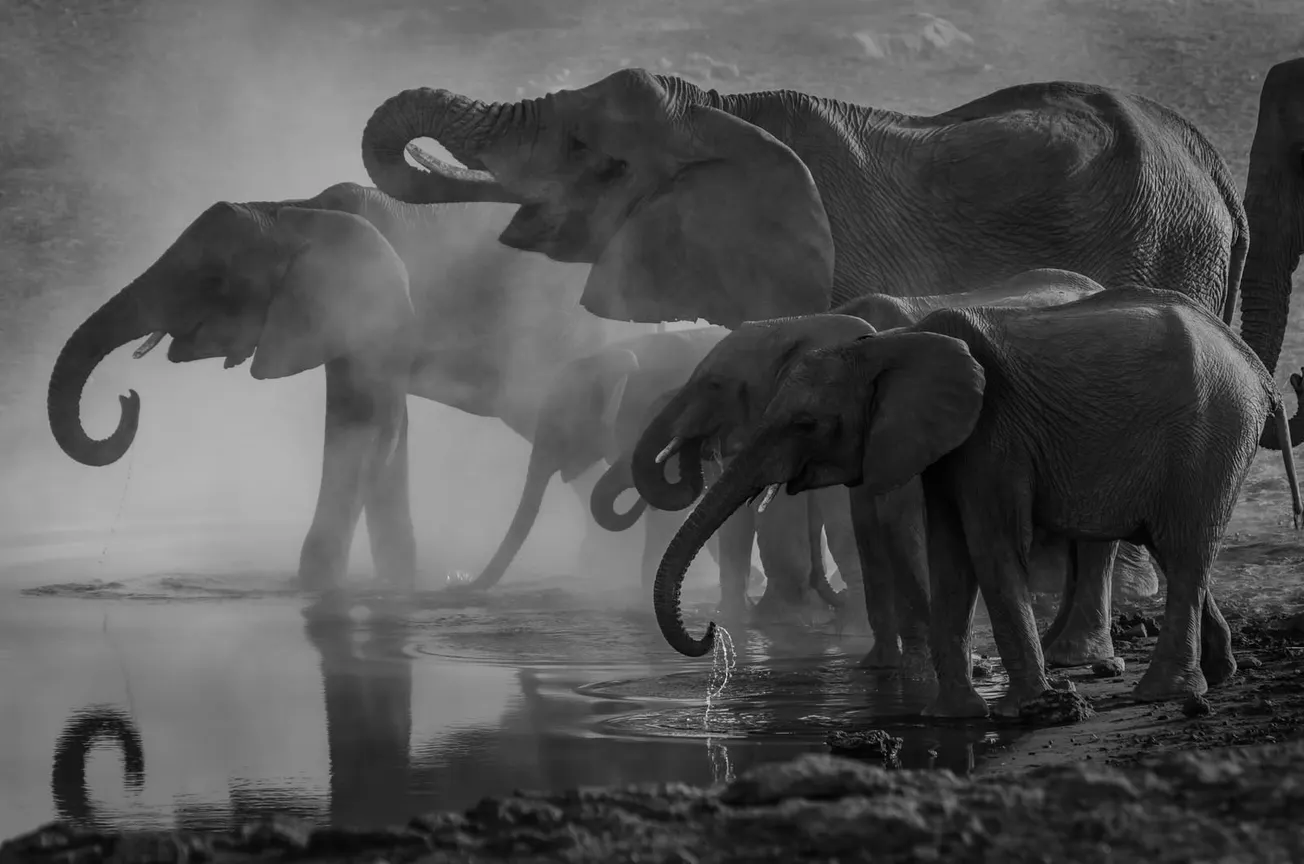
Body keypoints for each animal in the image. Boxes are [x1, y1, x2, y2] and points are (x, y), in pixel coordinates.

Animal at [46, 182, 644, 592]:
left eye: (213, 279)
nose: (128, 400)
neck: (293, 209)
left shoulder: (377, 307)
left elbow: (368, 430)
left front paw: (317, 590)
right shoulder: (339, 322)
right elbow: (373, 430)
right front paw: (396, 586)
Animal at [649, 285, 1302, 719]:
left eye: (805, 423)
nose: (711, 630)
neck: (888, 346)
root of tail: (1257, 369)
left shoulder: (995, 431)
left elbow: (989, 544)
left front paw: (1026, 708)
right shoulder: (940, 441)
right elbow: (949, 550)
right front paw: (955, 714)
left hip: (1211, 434)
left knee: (1184, 549)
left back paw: (1164, 693)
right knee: (1174, 547)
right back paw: (1218, 675)